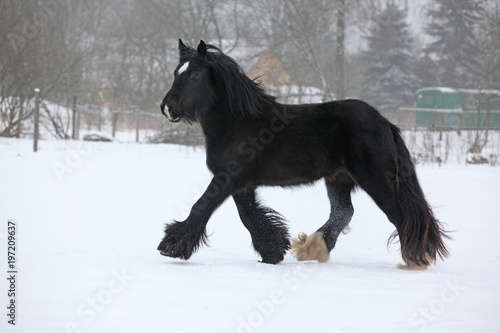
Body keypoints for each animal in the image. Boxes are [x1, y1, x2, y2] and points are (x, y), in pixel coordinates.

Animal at [157, 40, 450, 268]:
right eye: (175, 72)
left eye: (195, 75)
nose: (167, 108)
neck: (238, 122)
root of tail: (385, 123)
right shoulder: (242, 184)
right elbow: (250, 217)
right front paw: (273, 251)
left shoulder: (228, 177)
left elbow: (202, 206)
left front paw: (171, 246)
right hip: (339, 178)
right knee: (344, 212)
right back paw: (312, 247)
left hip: (378, 179)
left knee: (401, 215)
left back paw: (416, 260)